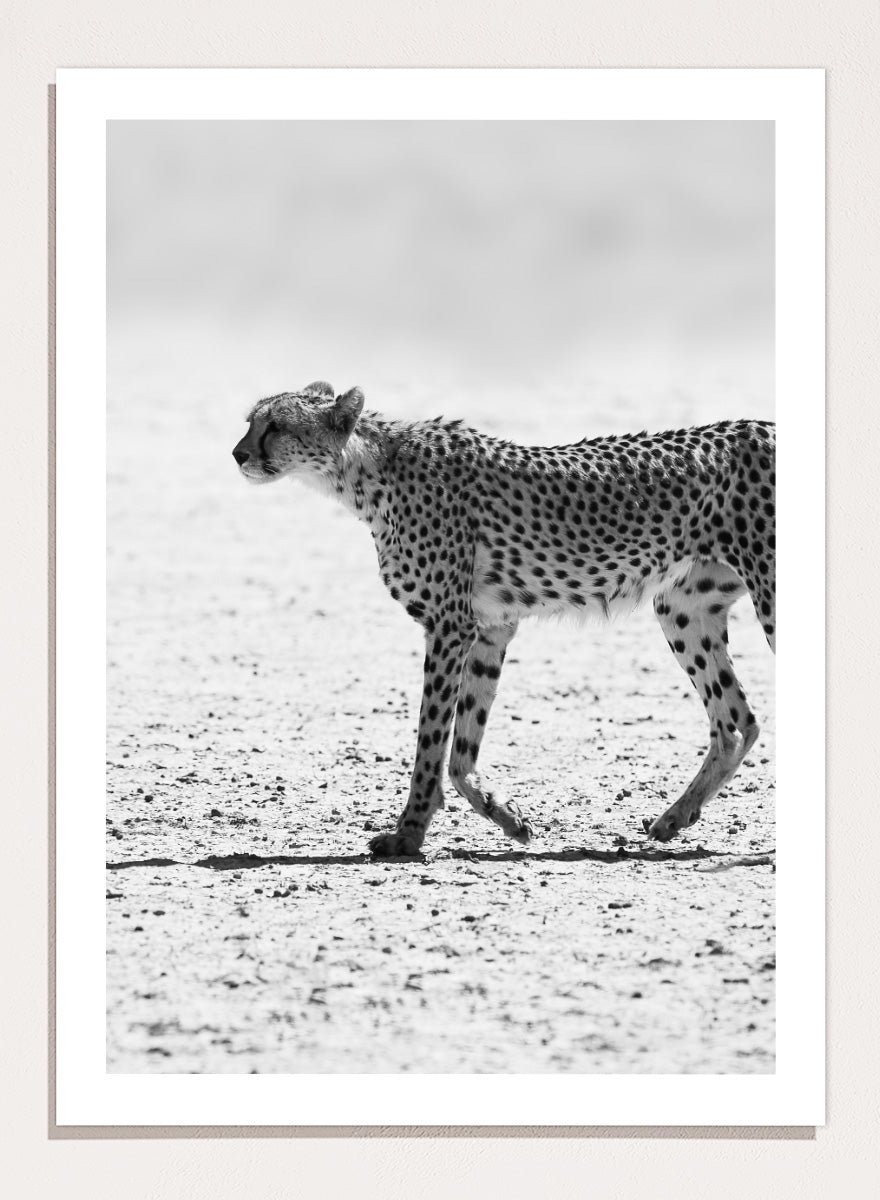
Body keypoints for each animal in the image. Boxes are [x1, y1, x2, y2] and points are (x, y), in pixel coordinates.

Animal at [233, 380, 775, 857]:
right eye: (250, 422)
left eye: (276, 425)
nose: (237, 454)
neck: (367, 470)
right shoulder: (490, 627)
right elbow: (461, 748)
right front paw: (506, 816)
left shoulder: (449, 625)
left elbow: (431, 740)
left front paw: (408, 835)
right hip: (682, 608)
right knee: (735, 721)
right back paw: (673, 819)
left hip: (767, 596)